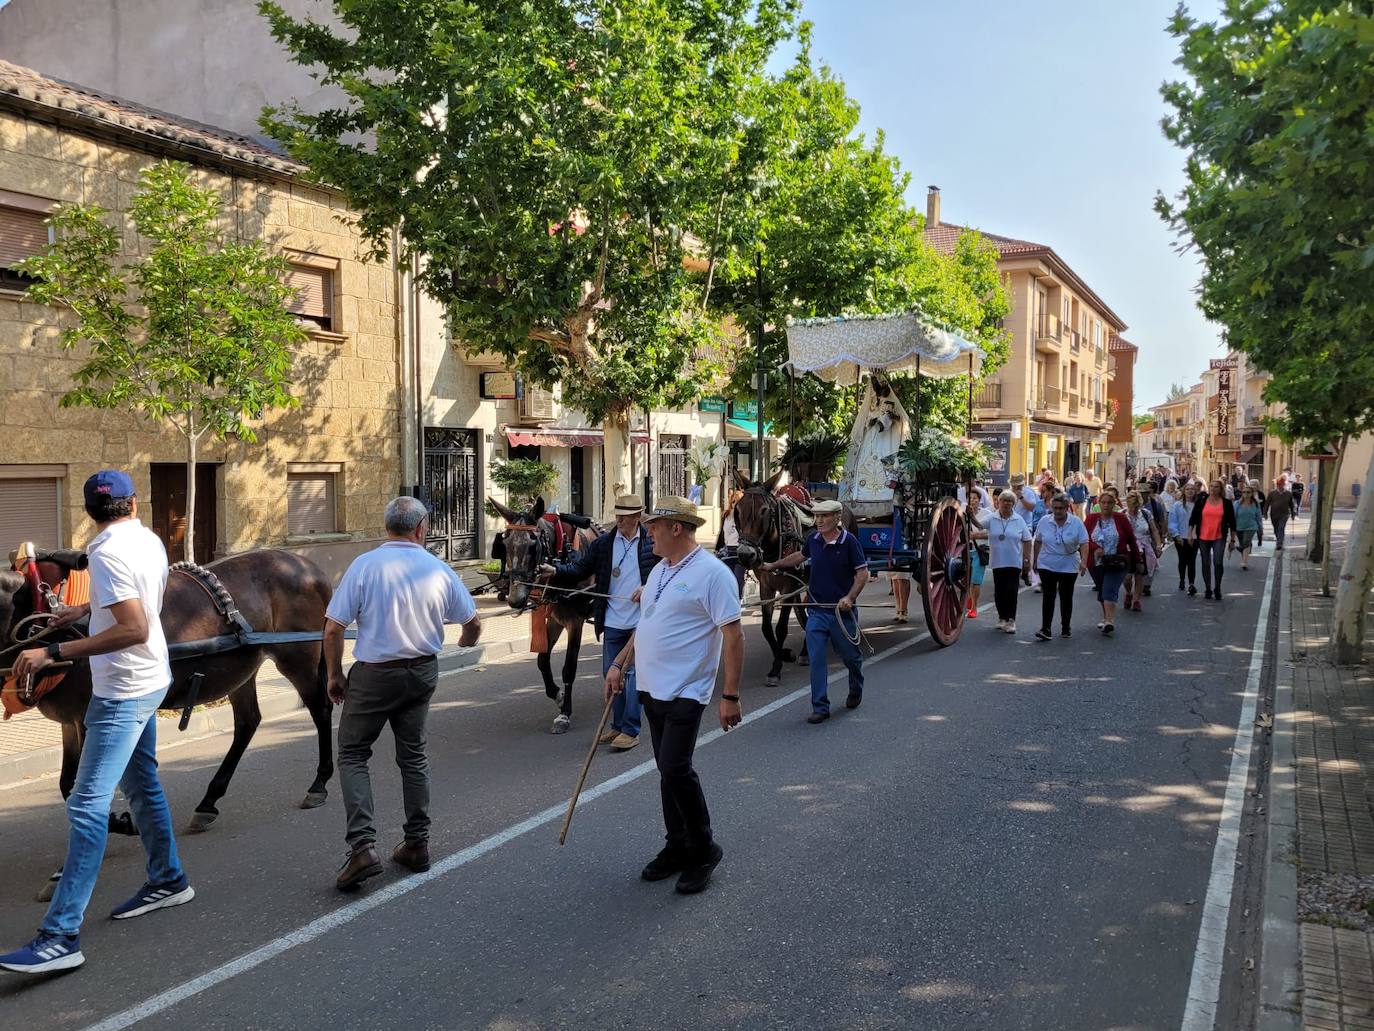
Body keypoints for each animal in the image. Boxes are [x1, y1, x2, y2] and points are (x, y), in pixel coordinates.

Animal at [4, 552, 336, 885]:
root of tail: (309, 567)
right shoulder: (69, 723)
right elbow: (66, 784)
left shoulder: (89, 719)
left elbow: (80, 787)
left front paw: (116, 826)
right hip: (242, 670)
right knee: (248, 722)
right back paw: (208, 802)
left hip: (298, 657)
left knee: (320, 709)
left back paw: (318, 785)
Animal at [489, 497, 596, 736]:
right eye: (504, 543)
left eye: (532, 545)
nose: (515, 599)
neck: (564, 557)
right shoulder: (556, 619)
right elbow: (542, 661)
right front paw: (558, 695)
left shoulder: (575, 622)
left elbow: (569, 668)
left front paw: (564, 714)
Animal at [736, 470, 851, 687]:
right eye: (737, 509)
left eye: (764, 510)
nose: (746, 555)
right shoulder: (766, 587)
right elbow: (766, 628)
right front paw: (783, 655)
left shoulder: (789, 587)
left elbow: (781, 627)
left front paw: (776, 668)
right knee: (811, 613)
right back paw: (806, 651)